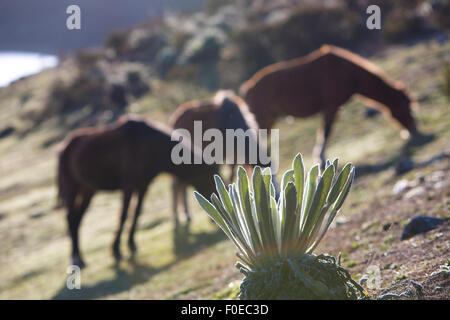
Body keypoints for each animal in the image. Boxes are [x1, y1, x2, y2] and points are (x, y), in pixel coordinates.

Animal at [57, 115, 219, 268]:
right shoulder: (128, 187)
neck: (148, 146)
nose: (214, 216)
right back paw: (75, 258)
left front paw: (131, 244)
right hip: (72, 189)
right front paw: (116, 250)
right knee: (71, 218)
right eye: (211, 178)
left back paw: (81, 258)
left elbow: (136, 213)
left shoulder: (143, 187)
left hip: (88, 190)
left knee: (77, 219)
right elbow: (123, 216)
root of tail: (64, 147)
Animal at [169, 89, 274, 220]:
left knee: (181, 184)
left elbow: (232, 172)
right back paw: (179, 215)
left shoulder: (235, 155)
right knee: (177, 184)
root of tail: (175, 118)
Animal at [239, 44, 418, 166]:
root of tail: (248, 88)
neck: (347, 72)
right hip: (263, 120)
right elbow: (325, 132)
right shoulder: (331, 108)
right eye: (405, 107)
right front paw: (320, 158)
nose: (413, 131)